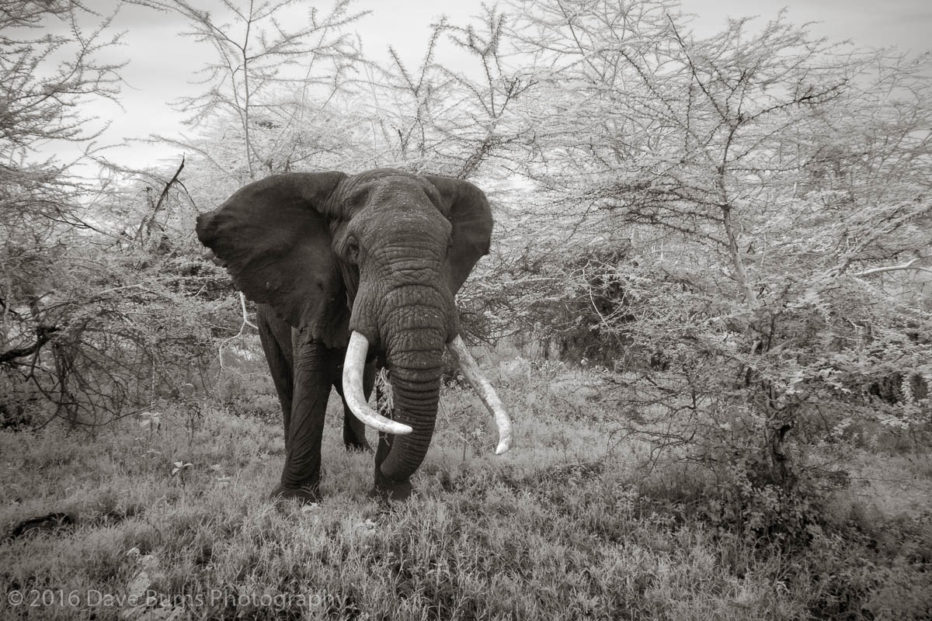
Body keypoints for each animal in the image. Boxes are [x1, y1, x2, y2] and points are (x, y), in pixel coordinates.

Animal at [197, 167, 512, 502]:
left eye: (449, 247)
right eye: (353, 249)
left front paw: (392, 499)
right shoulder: (313, 300)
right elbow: (310, 380)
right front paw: (293, 501)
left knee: (360, 382)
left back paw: (360, 451)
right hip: (265, 322)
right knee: (285, 384)